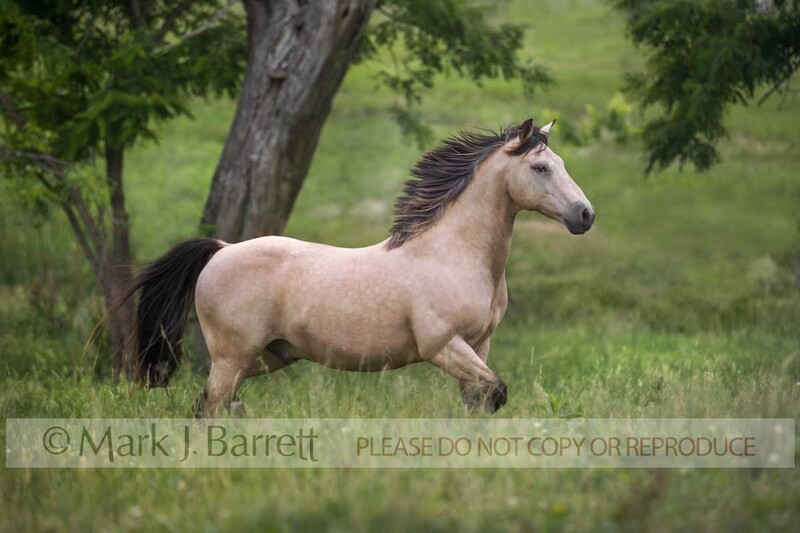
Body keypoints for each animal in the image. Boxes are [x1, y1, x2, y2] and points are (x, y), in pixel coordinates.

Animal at [125, 118, 594, 417]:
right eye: (540, 167)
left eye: (563, 165)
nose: (585, 215)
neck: (453, 253)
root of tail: (222, 249)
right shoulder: (443, 346)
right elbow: (496, 392)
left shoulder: (479, 345)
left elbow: (480, 402)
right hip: (231, 356)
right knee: (211, 406)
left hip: (266, 356)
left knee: (213, 405)